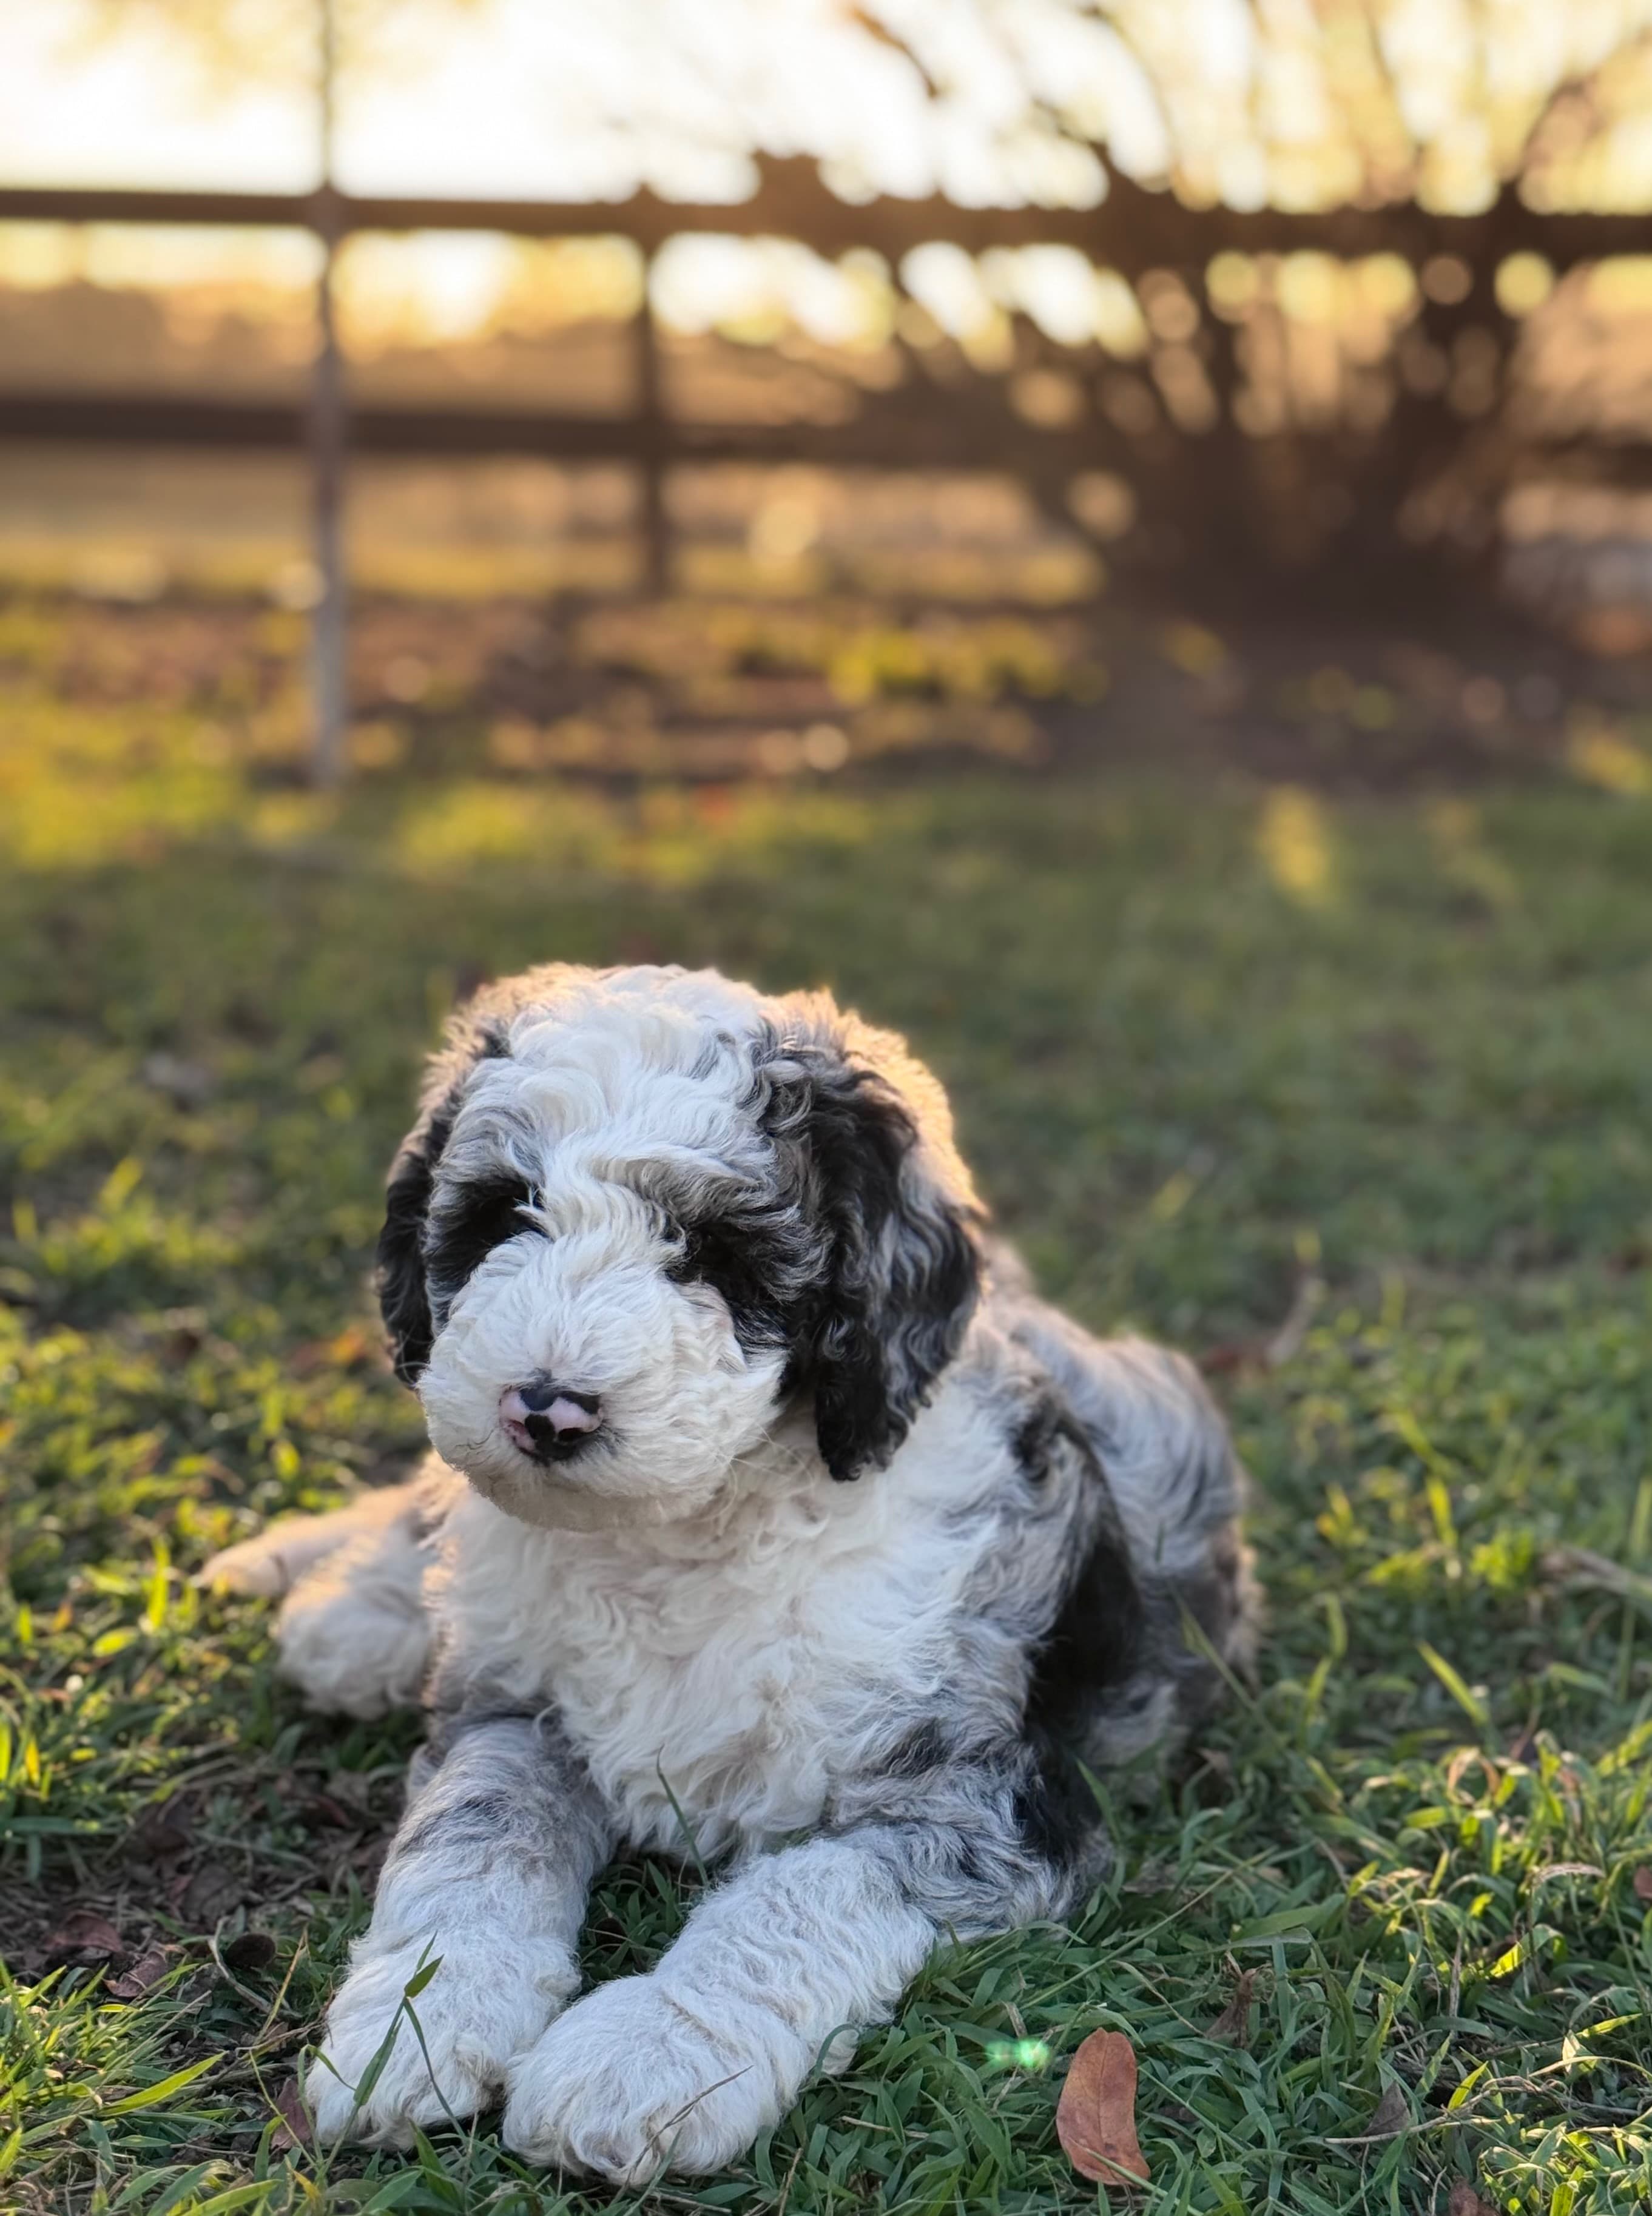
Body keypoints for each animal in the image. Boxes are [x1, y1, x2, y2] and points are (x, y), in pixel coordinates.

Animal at [203, 966, 1250, 2180]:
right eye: (503, 1214)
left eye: (712, 1251)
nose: (544, 1409)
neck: (681, 1534)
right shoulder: (513, 1710)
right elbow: (468, 1837)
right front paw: (412, 2020)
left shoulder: (990, 1802)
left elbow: (797, 1895)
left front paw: (644, 2054)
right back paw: (348, 1606)